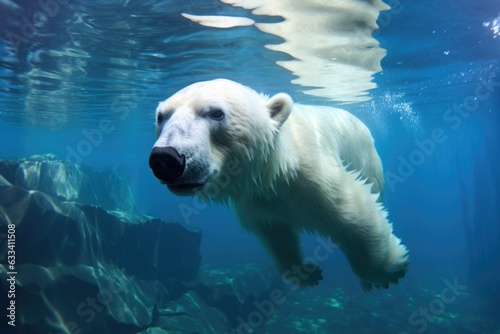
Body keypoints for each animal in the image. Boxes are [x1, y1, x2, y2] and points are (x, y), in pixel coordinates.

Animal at [149, 79, 410, 292]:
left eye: (216, 113)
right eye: (161, 116)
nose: (166, 158)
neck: (277, 170)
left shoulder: (315, 177)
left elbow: (355, 214)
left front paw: (388, 273)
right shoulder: (257, 202)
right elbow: (277, 236)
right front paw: (307, 274)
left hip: (365, 157)